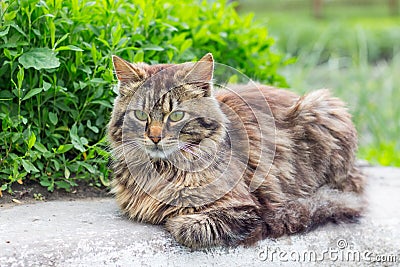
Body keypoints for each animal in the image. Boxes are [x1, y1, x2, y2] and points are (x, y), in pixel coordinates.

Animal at [108, 53, 366, 250]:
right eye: (141, 115)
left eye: (177, 115)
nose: (155, 137)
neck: (162, 170)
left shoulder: (246, 207)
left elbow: (193, 228)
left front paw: (177, 223)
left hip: (322, 107)